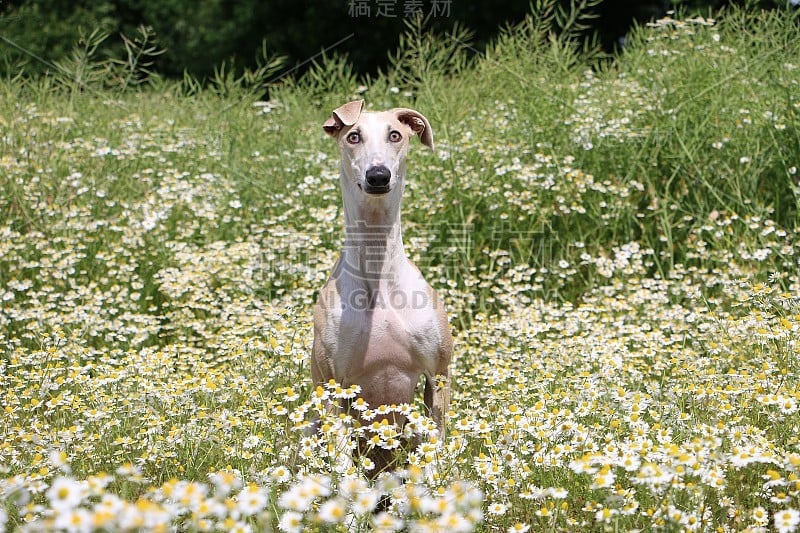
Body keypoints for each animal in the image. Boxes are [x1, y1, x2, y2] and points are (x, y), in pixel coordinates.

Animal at [310, 101, 450, 474]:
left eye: (396, 135)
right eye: (353, 136)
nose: (378, 175)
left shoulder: (438, 375)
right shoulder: (332, 387)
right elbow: (343, 467)